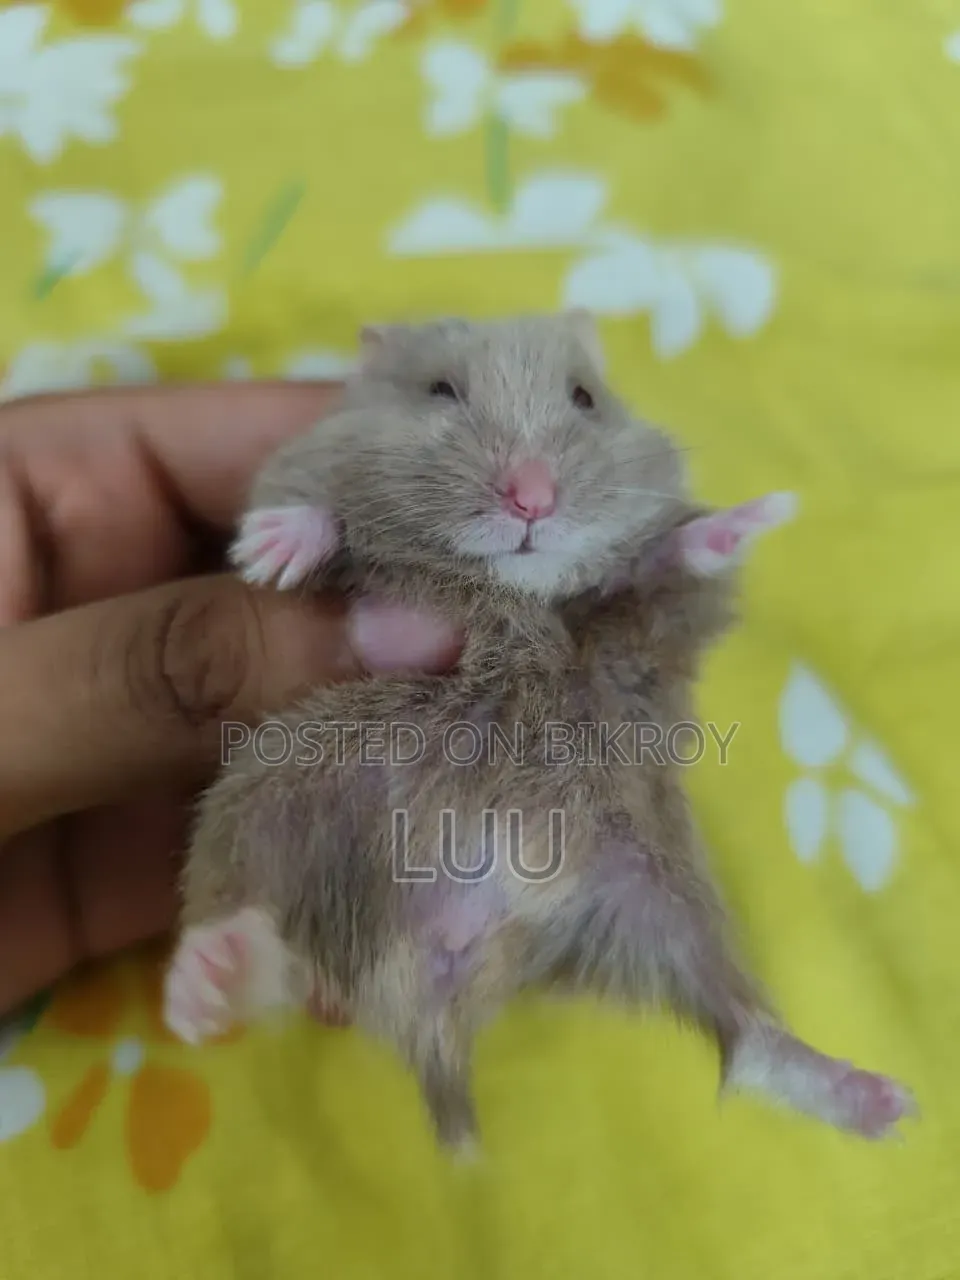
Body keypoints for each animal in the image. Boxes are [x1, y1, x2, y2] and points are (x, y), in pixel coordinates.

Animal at [163, 310, 916, 1155]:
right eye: (440, 390)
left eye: (585, 397)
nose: (532, 500)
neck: (519, 590)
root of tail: (443, 976)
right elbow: (328, 528)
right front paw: (273, 550)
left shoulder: (645, 633)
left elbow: (667, 563)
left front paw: (756, 513)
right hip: (265, 797)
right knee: (259, 930)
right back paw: (205, 981)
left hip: (654, 892)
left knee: (746, 1035)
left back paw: (885, 1104)